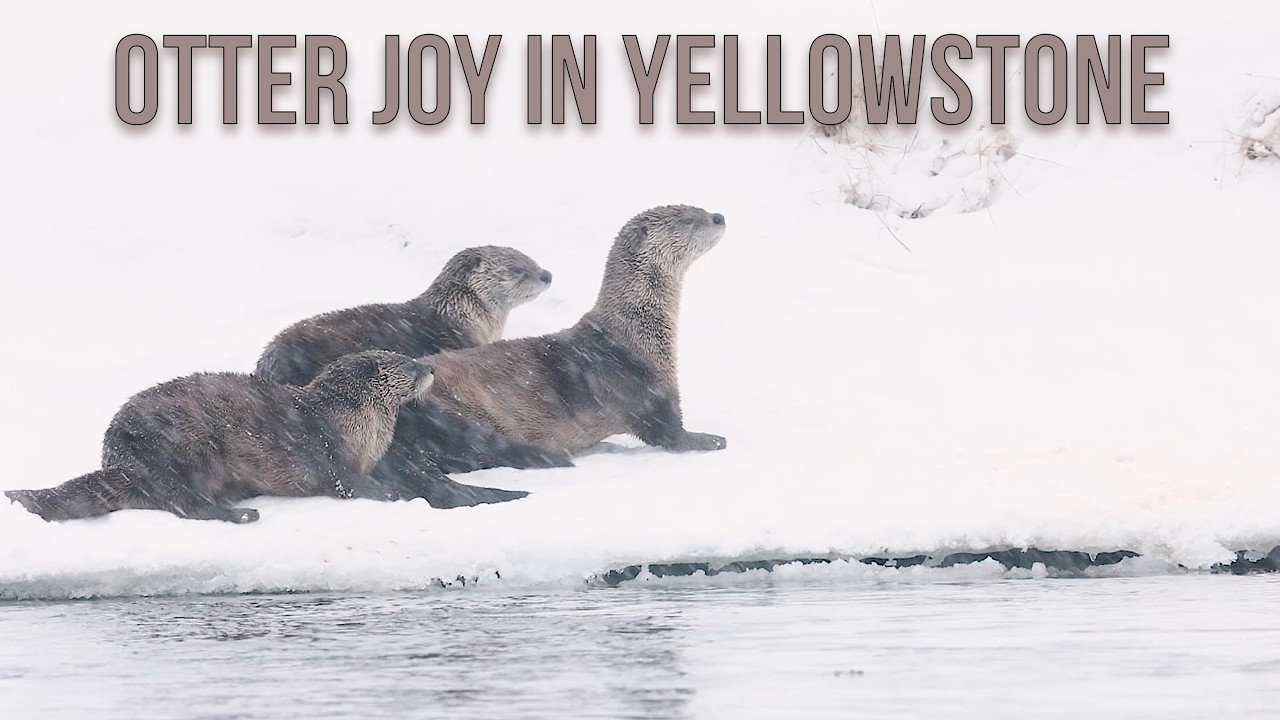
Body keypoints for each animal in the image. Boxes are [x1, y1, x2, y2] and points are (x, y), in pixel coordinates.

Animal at [5, 351, 446, 523]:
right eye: (409, 363)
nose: (430, 369)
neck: (358, 423)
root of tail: (119, 456)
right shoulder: (329, 450)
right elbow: (348, 483)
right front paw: (392, 492)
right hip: (186, 445)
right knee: (185, 504)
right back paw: (243, 514)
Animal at [373, 204, 727, 487]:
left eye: (698, 207)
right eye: (687, 219)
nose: (718, 216)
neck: (636, 332)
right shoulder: (649, 389)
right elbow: (670, 433)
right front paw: (712, 439)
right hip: (456, 409)